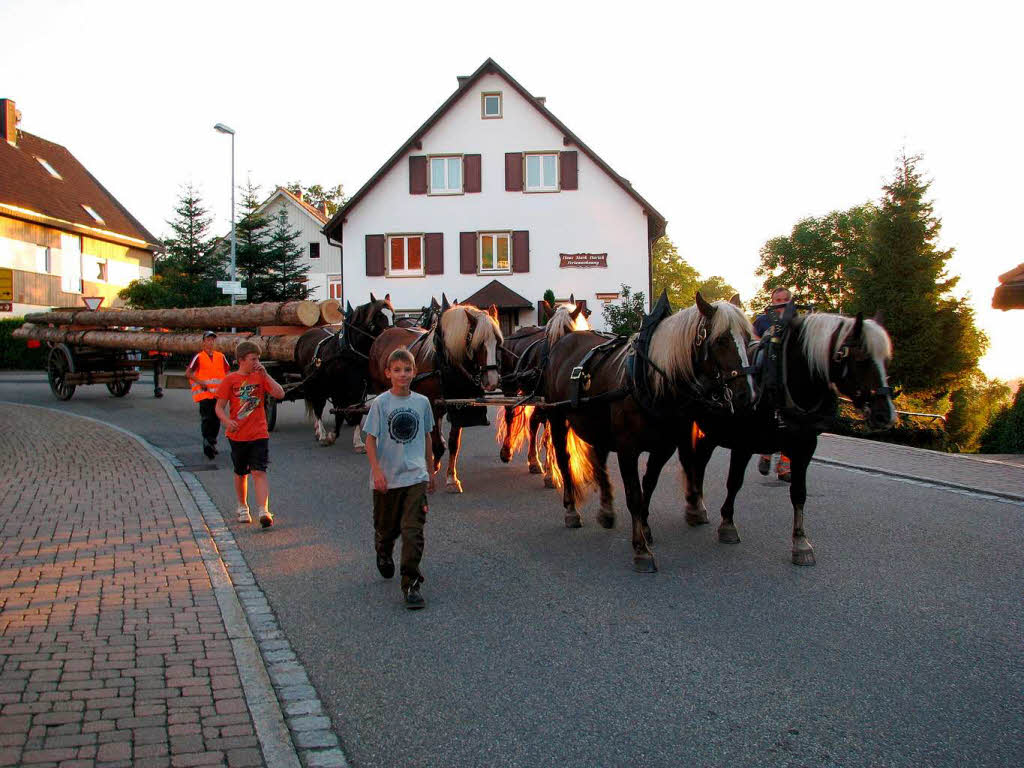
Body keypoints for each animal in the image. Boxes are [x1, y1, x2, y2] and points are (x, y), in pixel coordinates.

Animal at [294, 294, 393, 450]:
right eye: (378, 316)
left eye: (393, 315)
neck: (349, 351)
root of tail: (306, 334)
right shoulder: (337, 388)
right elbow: (338, 412)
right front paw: (331, 436)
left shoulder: (361, 387)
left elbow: (357, 411)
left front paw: (358, 442)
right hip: (314, 384)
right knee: (317, 406)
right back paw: (321, 433)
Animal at [368, 296, 503, 493]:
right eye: (479, 344)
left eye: (498, 343)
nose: (492, 380)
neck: (443, 362)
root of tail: (385, 333)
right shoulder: (430, 406)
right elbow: (437, 445)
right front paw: (432, 467)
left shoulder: (457, 405)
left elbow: (453, 443)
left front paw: (451, 478)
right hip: (381, 389)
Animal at [497, 296, 589, 483]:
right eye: (548, 338)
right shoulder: (550, 404)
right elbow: (550, 437)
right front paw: (552, 473)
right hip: (511, 387)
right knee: (510, 416)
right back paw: (507, 451)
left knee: (533, 422)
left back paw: (534, 461)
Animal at [540, 294, 757, 573]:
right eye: (720, 340)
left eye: (747, 337)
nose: (747, 395)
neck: (650, 380)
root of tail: (565, 340)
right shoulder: (627, 449)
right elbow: (634, 494)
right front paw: (641, 550)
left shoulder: (663, 448)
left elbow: (649, 487)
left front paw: (644, 528)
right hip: (558, 418)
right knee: (564, 460)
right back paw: (571, 510)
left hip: (596, 425)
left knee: (599, 462)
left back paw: (607, 511)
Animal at [675, 309, 892, 569]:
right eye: (861, 358)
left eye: (886, 360)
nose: (885, 414)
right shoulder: (743, 443)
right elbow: (734, 482)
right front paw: (727, 524)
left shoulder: (805, 447)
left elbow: (799, 493)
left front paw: (801, 543)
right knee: (694, 463)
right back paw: (694, 506)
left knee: (699, 463)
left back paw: (698, 505)